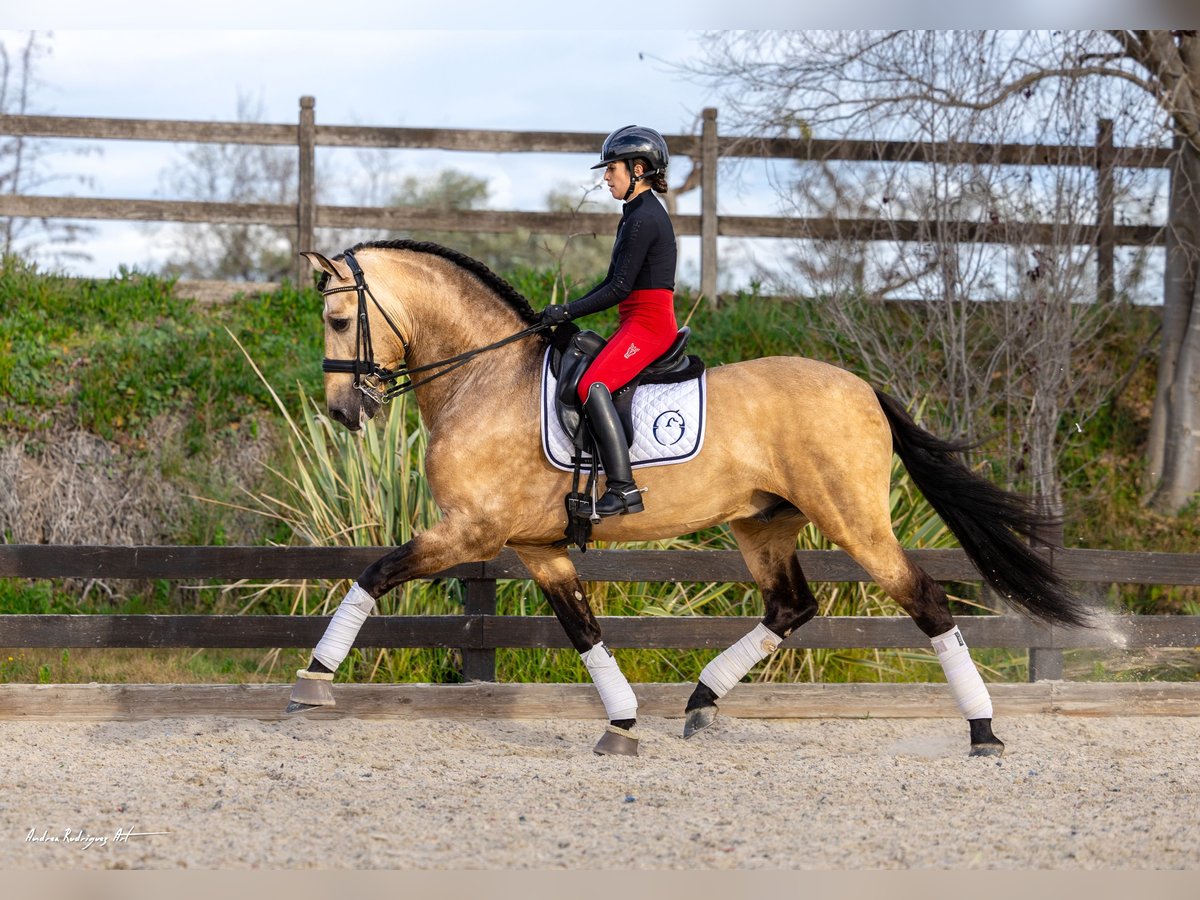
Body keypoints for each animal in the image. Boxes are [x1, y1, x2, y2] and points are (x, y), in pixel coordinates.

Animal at [285, 236, 1094, 758]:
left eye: (337, 319)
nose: (343, 412)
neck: (485, 379)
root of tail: (863, 388)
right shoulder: (535, 546)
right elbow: (583, 631)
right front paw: (620, 724)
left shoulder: (472, 533)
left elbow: (375, 573)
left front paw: (311, 683)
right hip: (764, 525)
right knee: (790, 607)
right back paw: (703, 701)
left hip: (854, 519)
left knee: (923, 599)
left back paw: (983, 731)